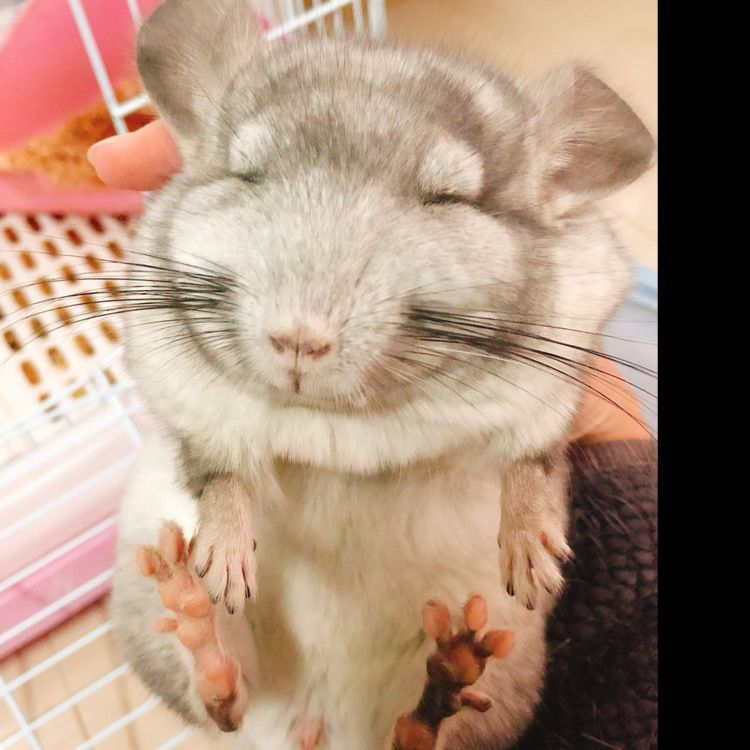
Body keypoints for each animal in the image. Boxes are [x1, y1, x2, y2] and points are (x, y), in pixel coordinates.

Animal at [109, 1, 655, 748]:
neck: (350, 422)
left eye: (448, 198)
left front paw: (533, 563)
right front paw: (222, 562)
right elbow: (219, 475)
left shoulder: (556, 376)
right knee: (224, 702)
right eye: (247, 174)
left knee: (416, 732)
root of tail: (321, 726)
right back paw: (196, 611)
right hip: (142, 601)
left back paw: (447, 678)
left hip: (510, 669)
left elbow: (529, 463)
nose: (299, 339)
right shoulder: (184, 390)